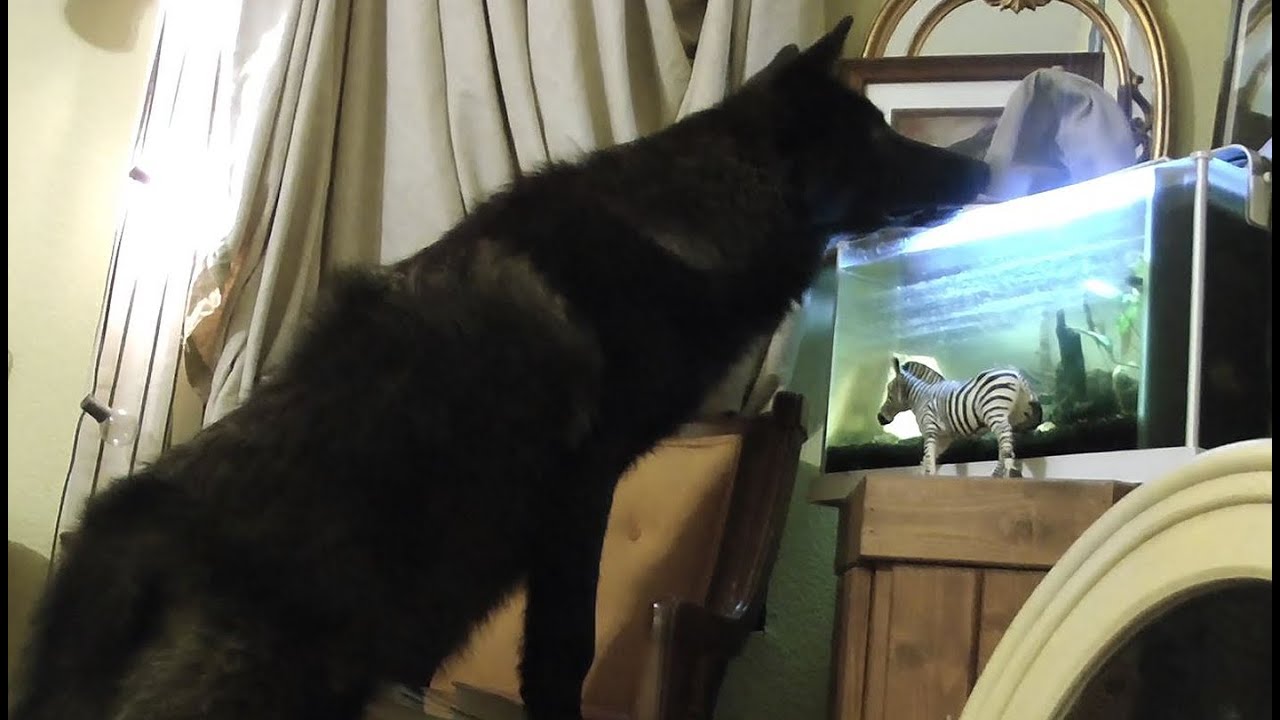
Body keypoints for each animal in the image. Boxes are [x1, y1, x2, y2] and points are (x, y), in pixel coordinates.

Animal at [12, 17, 987, 720]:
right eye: (878, 136)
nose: (979, 166)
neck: (691, 218)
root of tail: (113, 542)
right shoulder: (582, 492)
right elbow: (564, 649)